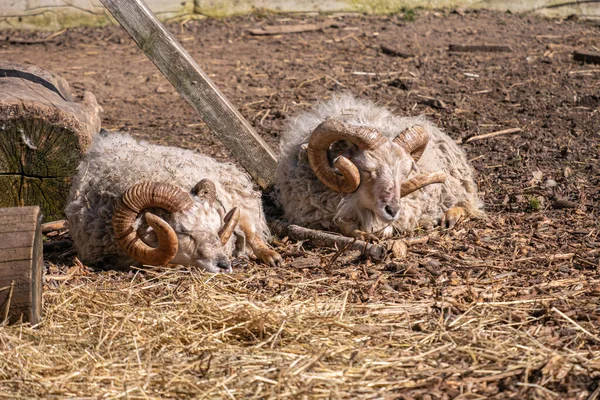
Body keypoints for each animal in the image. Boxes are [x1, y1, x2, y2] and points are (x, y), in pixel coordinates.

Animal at [65, 131, 282, 272]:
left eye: (216, 228)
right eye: (183, 232)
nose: (224, 265)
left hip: (244, 209)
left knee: (253, 235)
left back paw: (272, 256)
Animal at [276, 94, 482, 238]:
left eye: (405, 174)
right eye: (367, 170)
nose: (392, 210)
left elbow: (385, 228)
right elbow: (343, 225)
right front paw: (361, 232)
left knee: (468, 203)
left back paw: (450, 216)